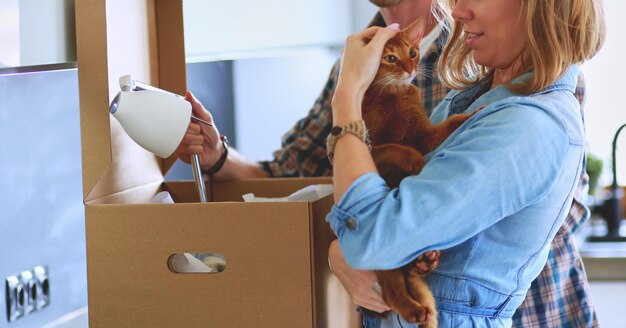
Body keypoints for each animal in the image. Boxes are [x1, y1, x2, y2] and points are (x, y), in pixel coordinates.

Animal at [360, 18, 472, 326]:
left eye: (412, 52)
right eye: (390, 58)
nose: (410, 70)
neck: (395, 93)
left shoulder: (424, 135)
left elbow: (450, 124)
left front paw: (474, 113)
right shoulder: (373, 150)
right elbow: (399, 148)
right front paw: (416, 163)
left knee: (409, 278)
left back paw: (426, 262)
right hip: (385, 258)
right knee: (391, 290)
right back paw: (413, 308)